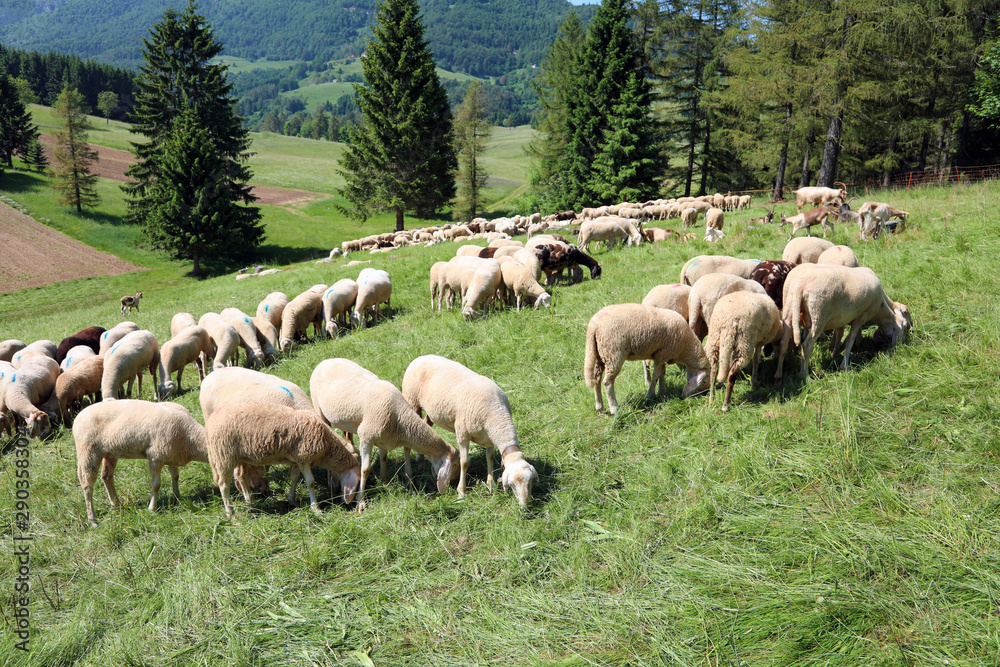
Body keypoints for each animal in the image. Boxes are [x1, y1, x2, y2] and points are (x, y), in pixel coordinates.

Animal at [73, 400, 208, 526]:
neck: (190, 438)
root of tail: (77, 417)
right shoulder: (155, 456)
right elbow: (156, 485)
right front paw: (152, 508)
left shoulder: (172, 456)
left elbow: (175, 477)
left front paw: (177, 496)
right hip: (87, 451)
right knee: (87, 485)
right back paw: (92, 520)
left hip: (109, 452)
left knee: (106, 476)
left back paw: (116, 505)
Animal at [205, 402, 361, 517]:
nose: (351, 501)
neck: (328, 444)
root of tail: (210, 421)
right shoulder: (304, 458)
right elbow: (310, 483)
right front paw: (316, 508)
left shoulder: (297, 460)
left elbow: (294, 478)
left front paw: (292, 500)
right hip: (224, 456)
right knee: (224, 485)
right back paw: (231, 514)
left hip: (240, 457)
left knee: (241, 476)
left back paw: (250, 502)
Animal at [310, 358, 459, 510]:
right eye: (455, 465)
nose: (454, 484)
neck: (400, 418)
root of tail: (326, 361)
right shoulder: (366, 437)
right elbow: (365, 469)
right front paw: (360, 501)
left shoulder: (383, 437)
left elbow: (384, 456)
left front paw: (386, 481)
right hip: (320, 411)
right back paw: (331, 481)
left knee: (348, 437)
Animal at [401, 355, 537, 507]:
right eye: (512, 485)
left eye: (531, 481)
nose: (525, 506)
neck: (496, 415)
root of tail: (421, 357)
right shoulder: (462, 435)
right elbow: (464, 462)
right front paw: (461, 492)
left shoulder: (489, 438)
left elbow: (489, 457)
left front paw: (491, 486)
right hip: (411, 400)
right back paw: (410, 473)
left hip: (431, 411)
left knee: (425, 425)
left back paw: (420, 461)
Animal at [777, 264, 912, 381]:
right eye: (906, 326)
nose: (904, 345)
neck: (881, 307)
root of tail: (799, 286)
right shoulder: (861, 317)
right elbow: (849, 341)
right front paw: (845, 365)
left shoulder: (841, 319)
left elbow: (839, 335)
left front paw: (834, 354)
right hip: (819, 315)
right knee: (807, 345)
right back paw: (804, 374)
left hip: (788, 311)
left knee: (783, 344)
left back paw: (778, 374)